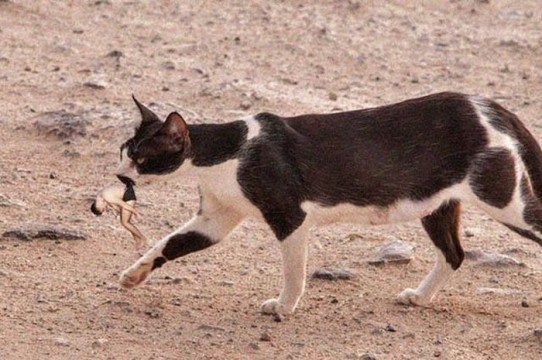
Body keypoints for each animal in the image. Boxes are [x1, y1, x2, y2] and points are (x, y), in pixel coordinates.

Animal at [116, 92, 542, 316]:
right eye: (123, 150)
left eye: (140, 157)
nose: (119, 174)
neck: (227, 153)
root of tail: (485, 104)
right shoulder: (216, 218)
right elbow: (169, 244)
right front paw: (134, 274)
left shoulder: (289, 215)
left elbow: (293, 270)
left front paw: (284, 306)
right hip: (437, 204)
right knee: (454, 254)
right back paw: (420, 297)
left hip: (504, 200)